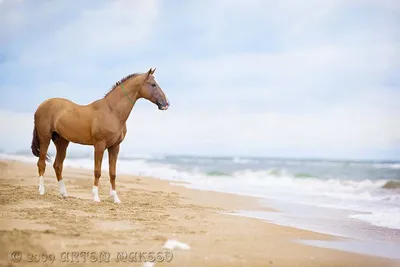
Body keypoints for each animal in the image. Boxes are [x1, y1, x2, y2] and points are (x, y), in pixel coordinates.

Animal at [30, 68, 169, 203]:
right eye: (153, 84)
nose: (166, 103)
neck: (112, 112)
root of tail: (40, 106)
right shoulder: (99, 145)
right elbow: (97, 171)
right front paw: (96, 197)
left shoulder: (115, 147)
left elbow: (113, 173)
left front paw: (115, 198)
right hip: (45, 139)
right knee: (41, 163)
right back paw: (41, 191)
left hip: (62, 142)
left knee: (58, 166)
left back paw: (64, 194)